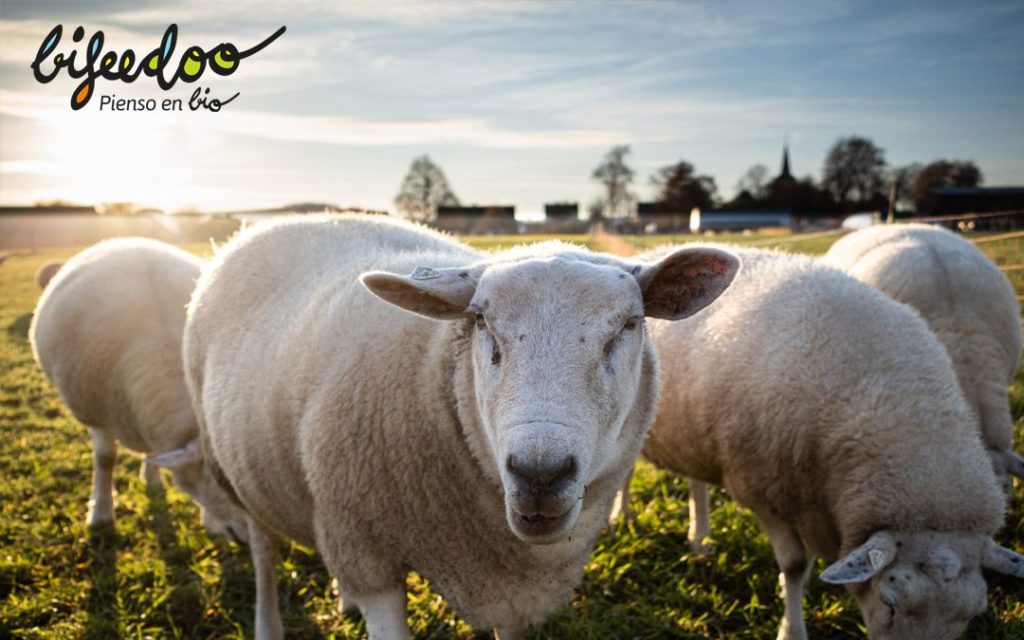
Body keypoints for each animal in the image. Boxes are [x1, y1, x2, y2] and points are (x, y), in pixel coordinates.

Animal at [30, 235, 247, 540]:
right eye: (220, 487)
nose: (245, 539)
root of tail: (127, 239)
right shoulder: (95, 414)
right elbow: (105, 459)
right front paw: (100, 514)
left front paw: (210, 523)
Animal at [176, 211, 737, 634]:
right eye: (482, 321)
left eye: (629, 325)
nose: (539, 475)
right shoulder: (369, 555)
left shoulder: (509, 588)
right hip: (236, 466)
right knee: (264, 552)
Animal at [634, 245, 1019, 638]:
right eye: (889, 603)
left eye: (972, 614)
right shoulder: (763, 492)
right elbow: (794, 564)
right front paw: (791, 628)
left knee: (695, 482)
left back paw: (700, 541)